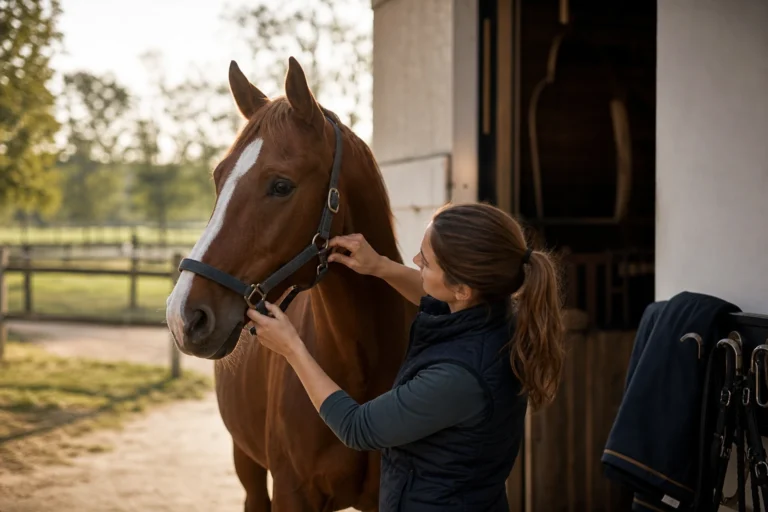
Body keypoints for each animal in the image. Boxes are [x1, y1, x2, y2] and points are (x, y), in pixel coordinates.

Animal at [165, 56, 417, 511]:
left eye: (281, 185)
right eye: (218, 178)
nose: (184, 316)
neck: (359, 369)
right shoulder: (290, 491)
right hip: (246, 462)